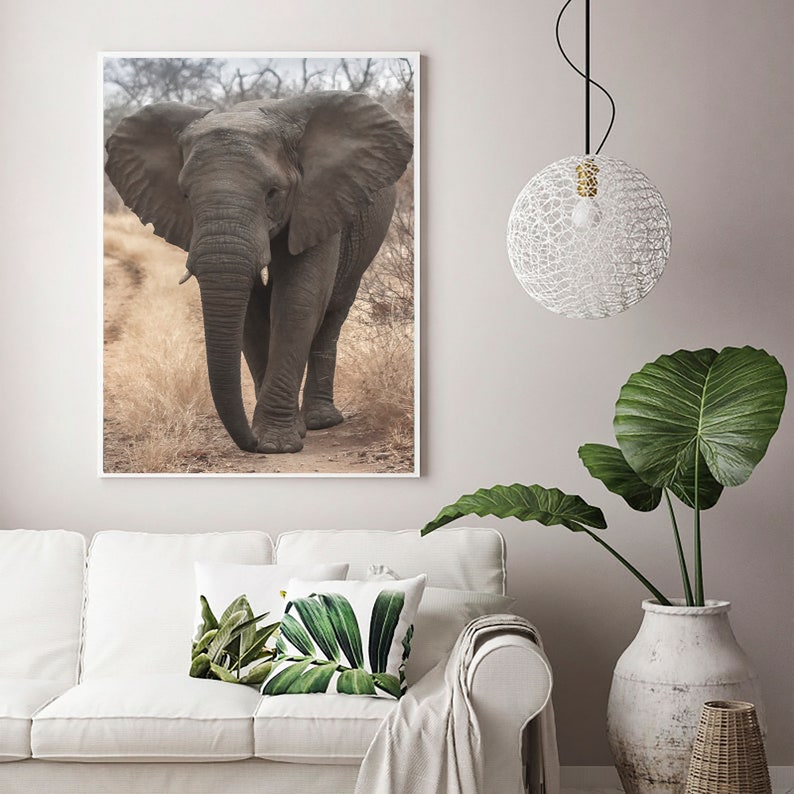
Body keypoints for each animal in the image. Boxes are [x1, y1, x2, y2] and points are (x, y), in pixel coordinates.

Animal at [105, 91, 413, 454]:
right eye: (185, 195)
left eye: (272, 193)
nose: (248, 443)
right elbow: (250, 315)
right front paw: (273, 435)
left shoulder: (318, 203)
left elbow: (298, 300)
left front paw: (275, 443)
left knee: (333, 312)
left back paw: (321, 421)